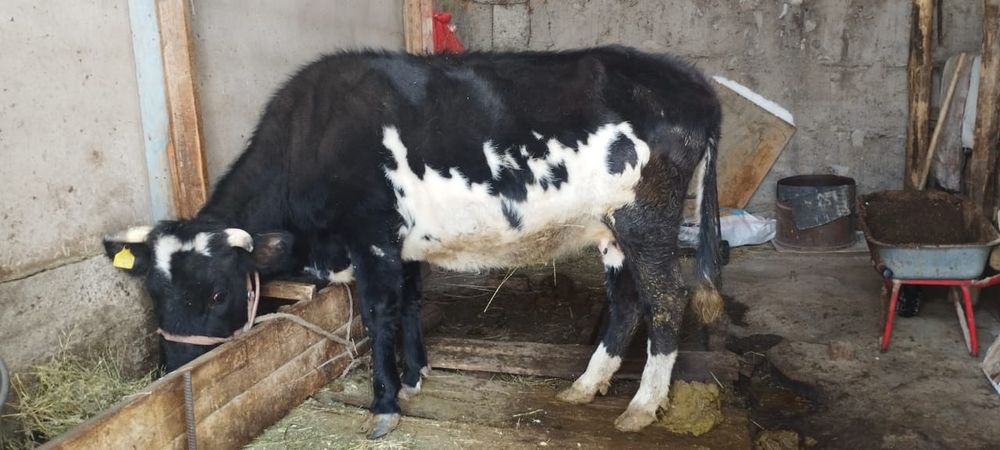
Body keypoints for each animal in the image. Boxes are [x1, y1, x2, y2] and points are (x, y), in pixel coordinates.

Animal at [103, 46, 723, 439]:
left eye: (215, 294)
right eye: (155, 296)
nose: (177, 369)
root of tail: (691, 83)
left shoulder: (372, 238)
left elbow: (380, 314)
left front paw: (384, 402)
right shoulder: (402, 245)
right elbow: (410, 303)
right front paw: (416, 375)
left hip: (646, 218)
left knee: (666, 299)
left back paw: (643, 405)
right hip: (610, 229)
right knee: (626, 302)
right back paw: (587, 385)